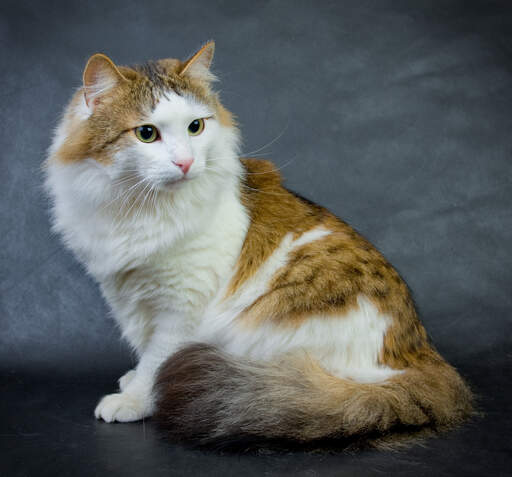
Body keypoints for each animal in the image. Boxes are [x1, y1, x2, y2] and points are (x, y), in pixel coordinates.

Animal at [46, 42, 474, 448]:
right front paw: (133, 381)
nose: (185, 163)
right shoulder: (129, 294)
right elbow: (144, 348)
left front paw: (136, 400)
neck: (138, 208)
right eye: (146, 133)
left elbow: (157, 358)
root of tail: (424, 358)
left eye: (195, 127)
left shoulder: (183, 306)